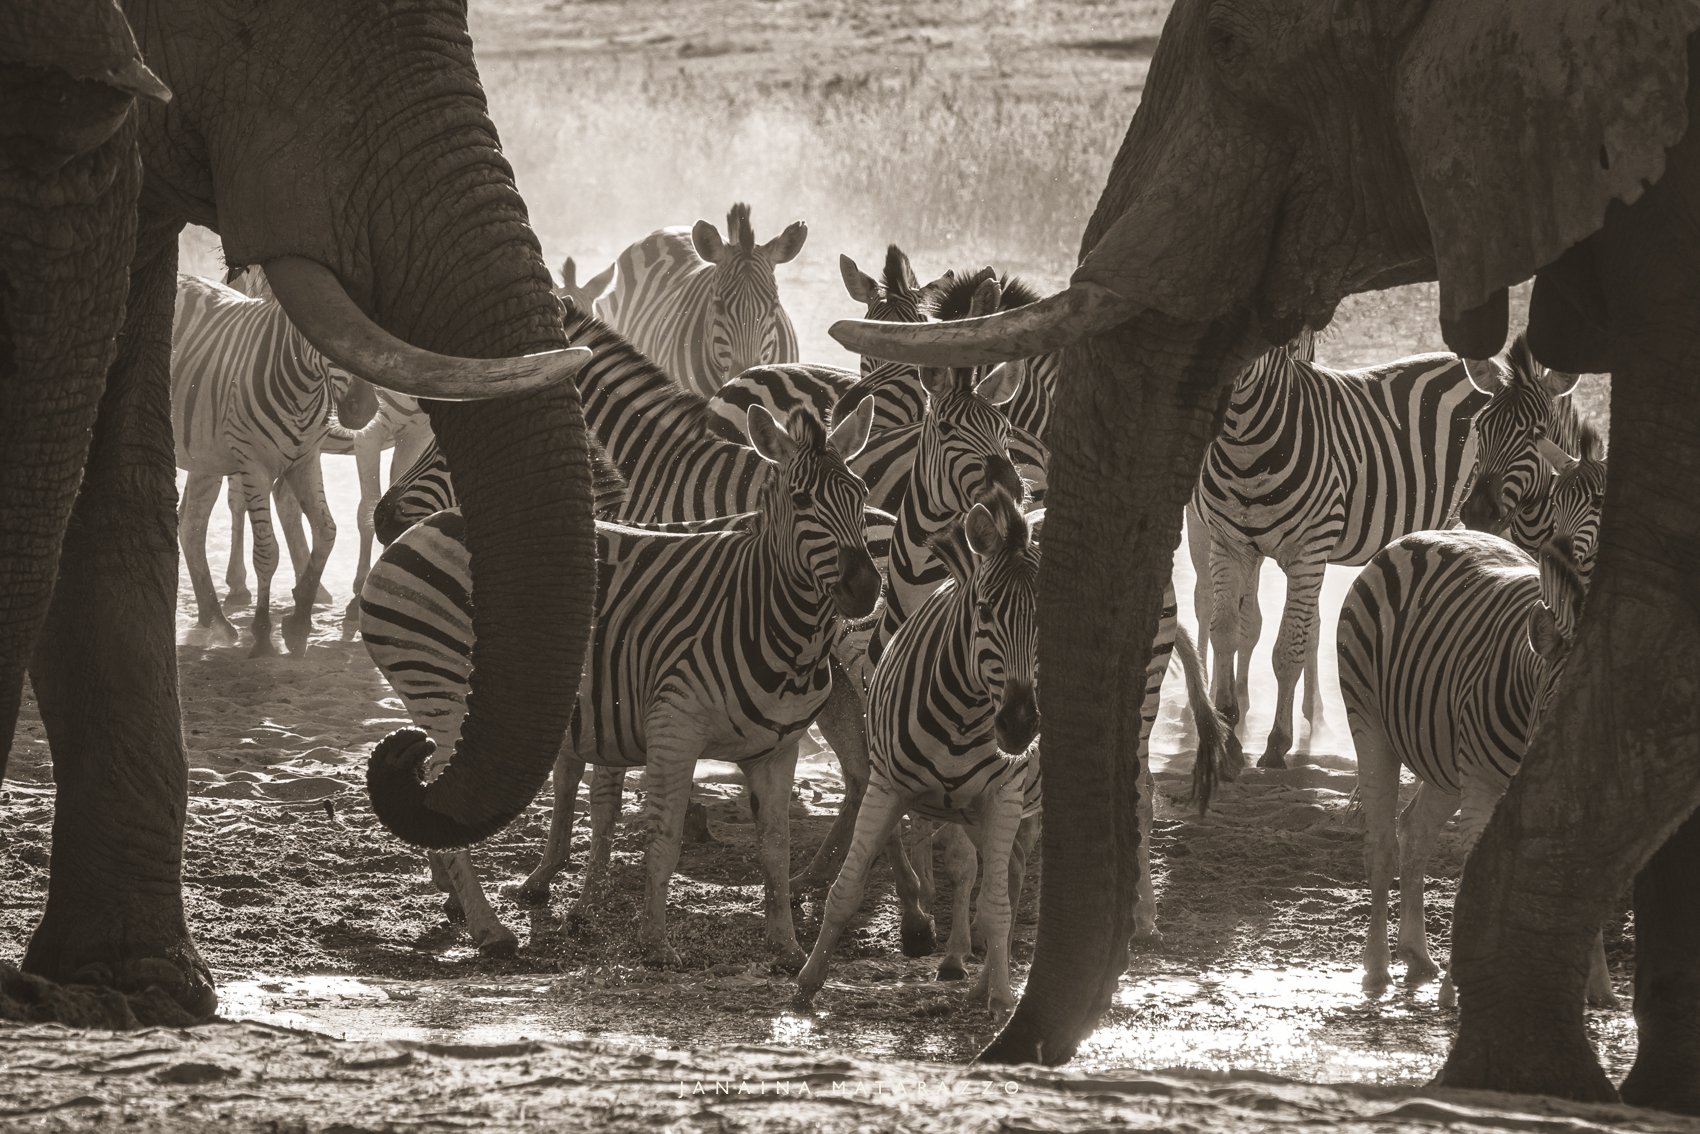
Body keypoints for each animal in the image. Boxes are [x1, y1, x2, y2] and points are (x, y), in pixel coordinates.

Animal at [172, 272, 363, 655]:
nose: (365, 408)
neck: (303, 389)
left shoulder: (306, 459)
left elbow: (327, 532)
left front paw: (300, 623)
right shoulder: (254, 463)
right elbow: (267, 551)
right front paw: (262, 633)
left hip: (203, 452)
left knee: (192, 524)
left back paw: (215, 619)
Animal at [361, 404, 880, 964]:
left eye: (861, 493)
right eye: (802, 500)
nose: (865, 587)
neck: (770, 619)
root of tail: (427, 529)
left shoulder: (775, 750)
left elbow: (774, 847)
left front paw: (785, 947)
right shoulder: (666, 728)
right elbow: (658, 837)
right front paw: (652, 942)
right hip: (442, 685)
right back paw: (489, 928)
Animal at [1192, 333, 1495, 769]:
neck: (1245, 453)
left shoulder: (1308, 552)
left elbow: (1288, 650)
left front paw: (1278, 742)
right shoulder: (1229, 545)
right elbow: (1226, 633)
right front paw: (1228, 731)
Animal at [1338, 428, 1609, 1008]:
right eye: (1556, 501)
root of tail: (1421, 535)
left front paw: (1596, 986)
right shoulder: (1484, 784)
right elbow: (1479, 872)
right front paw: (1469, 987)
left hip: (1444, 754)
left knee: (1414, 831)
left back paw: (1417, 956)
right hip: (1373, 723)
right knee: (1381, 844)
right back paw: (1377, 969)